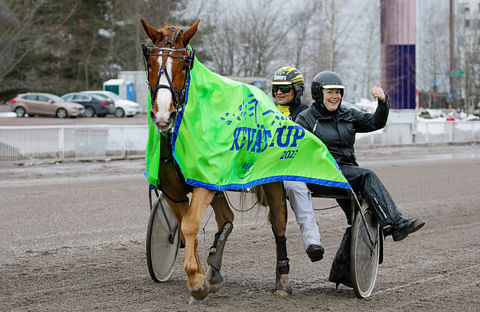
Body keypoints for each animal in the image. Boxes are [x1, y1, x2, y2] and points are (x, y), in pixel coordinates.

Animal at [140, 19, 292, 302]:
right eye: (152, 62)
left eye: (183, 65)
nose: (163, 114)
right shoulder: (174, 192)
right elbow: (186, 229)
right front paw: (201, 277)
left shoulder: (205, 181)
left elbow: (190, 224)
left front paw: (196, 281)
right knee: (226, 219)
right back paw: (215, 271)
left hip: (272, 180)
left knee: (278, 221)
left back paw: (283, 282)